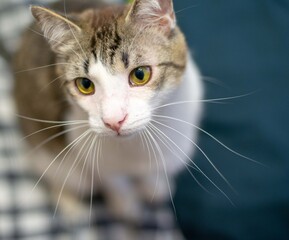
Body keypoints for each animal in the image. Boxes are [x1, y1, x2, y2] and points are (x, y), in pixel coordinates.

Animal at [13, 0, 202, 221]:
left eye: (140, 74)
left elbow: (155, 172)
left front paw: (154, 187)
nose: (114, 121)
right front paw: (126, 206)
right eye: (85, 84)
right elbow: (114, 182)